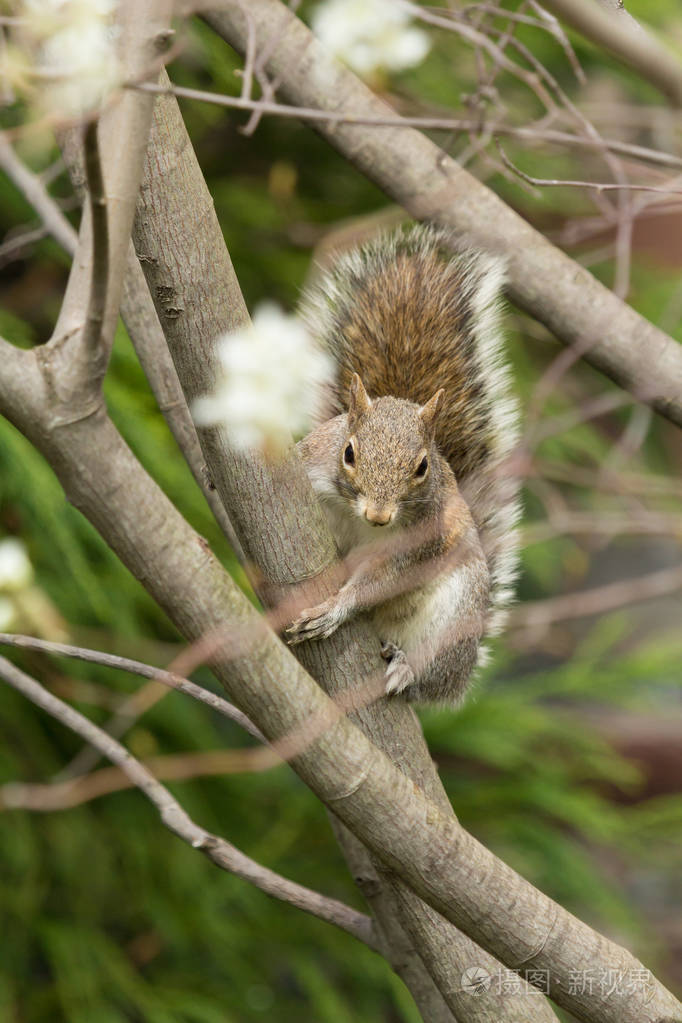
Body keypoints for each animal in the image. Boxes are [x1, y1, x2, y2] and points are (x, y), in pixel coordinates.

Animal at [286, 224, 519, 703]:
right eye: (348, 452)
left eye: (422, 467)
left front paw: (334, 610)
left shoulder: (419, 542)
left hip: (456, 614)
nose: (379, 515)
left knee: (433, 676)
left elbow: (379, 581)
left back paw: (406, 669)